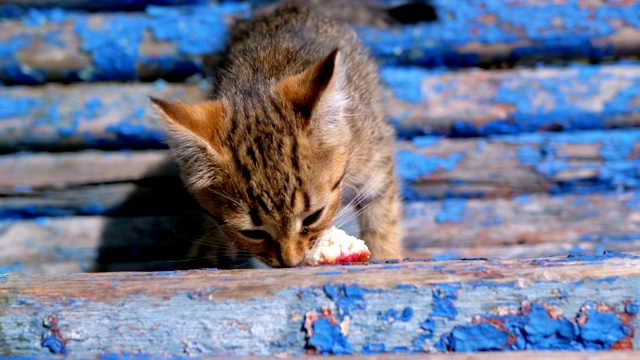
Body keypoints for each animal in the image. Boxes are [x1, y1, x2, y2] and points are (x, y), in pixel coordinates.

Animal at [151, 2, 400, 268]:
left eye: (313, 216)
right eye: (251, 233)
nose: (290, 262)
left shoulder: (375, 162)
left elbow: (382, 220)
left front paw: (386, 254)